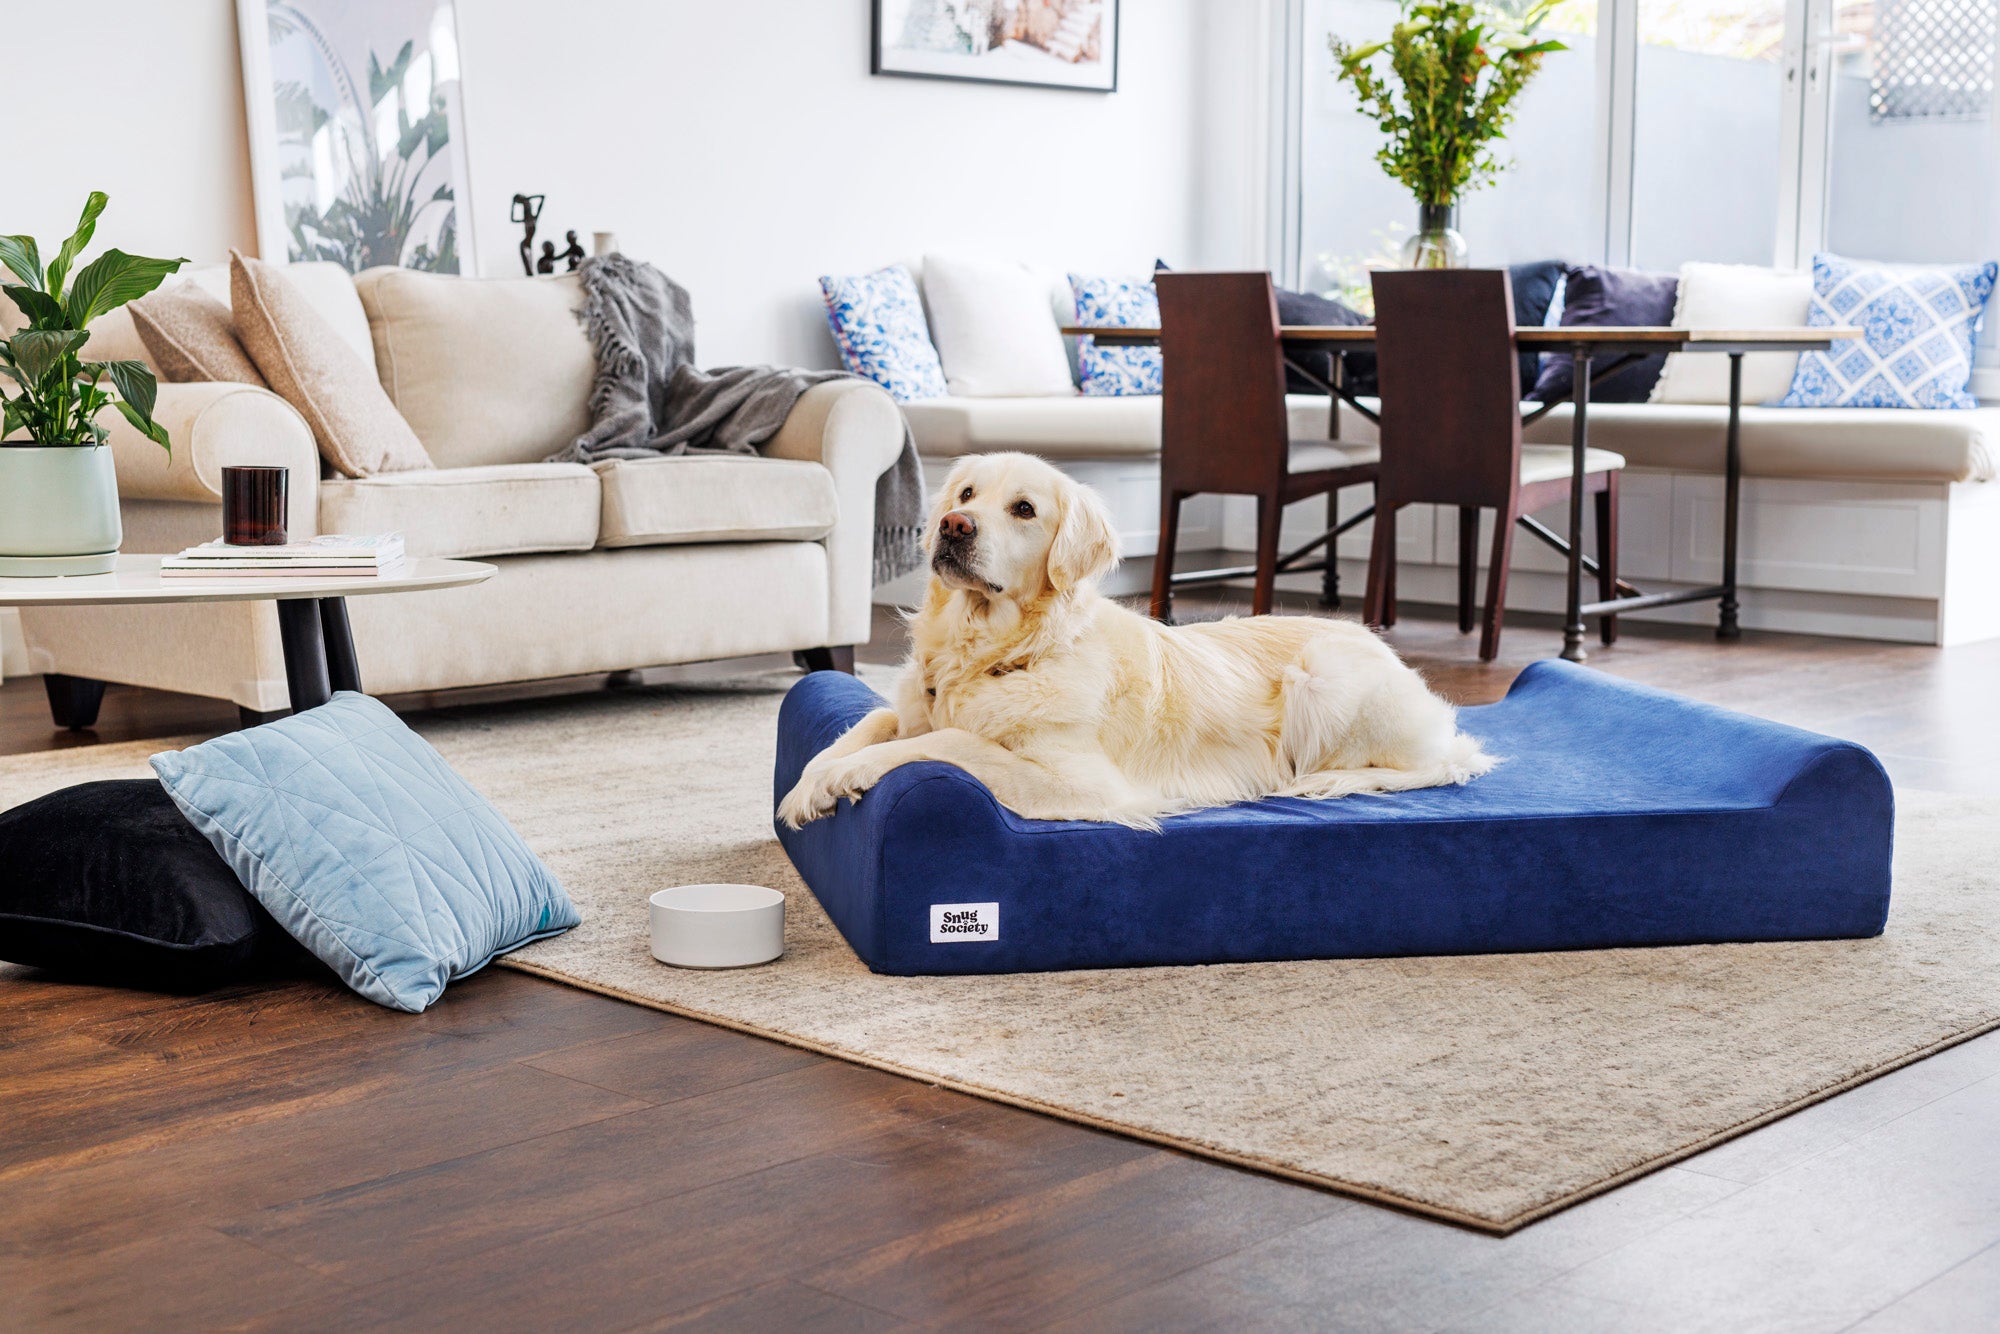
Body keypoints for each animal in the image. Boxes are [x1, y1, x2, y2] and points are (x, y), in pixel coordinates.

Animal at [772, 454, 1496, 828]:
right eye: (967, 494)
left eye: (1024, 509)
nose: (953, 525)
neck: (990, 654)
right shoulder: (913, 702)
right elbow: (872, 722)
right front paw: (811, 783)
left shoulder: (1086, 786)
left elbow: (952, 742)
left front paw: (846, 774)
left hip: (1324, 675)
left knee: (1447, 761)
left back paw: (1332, 780)